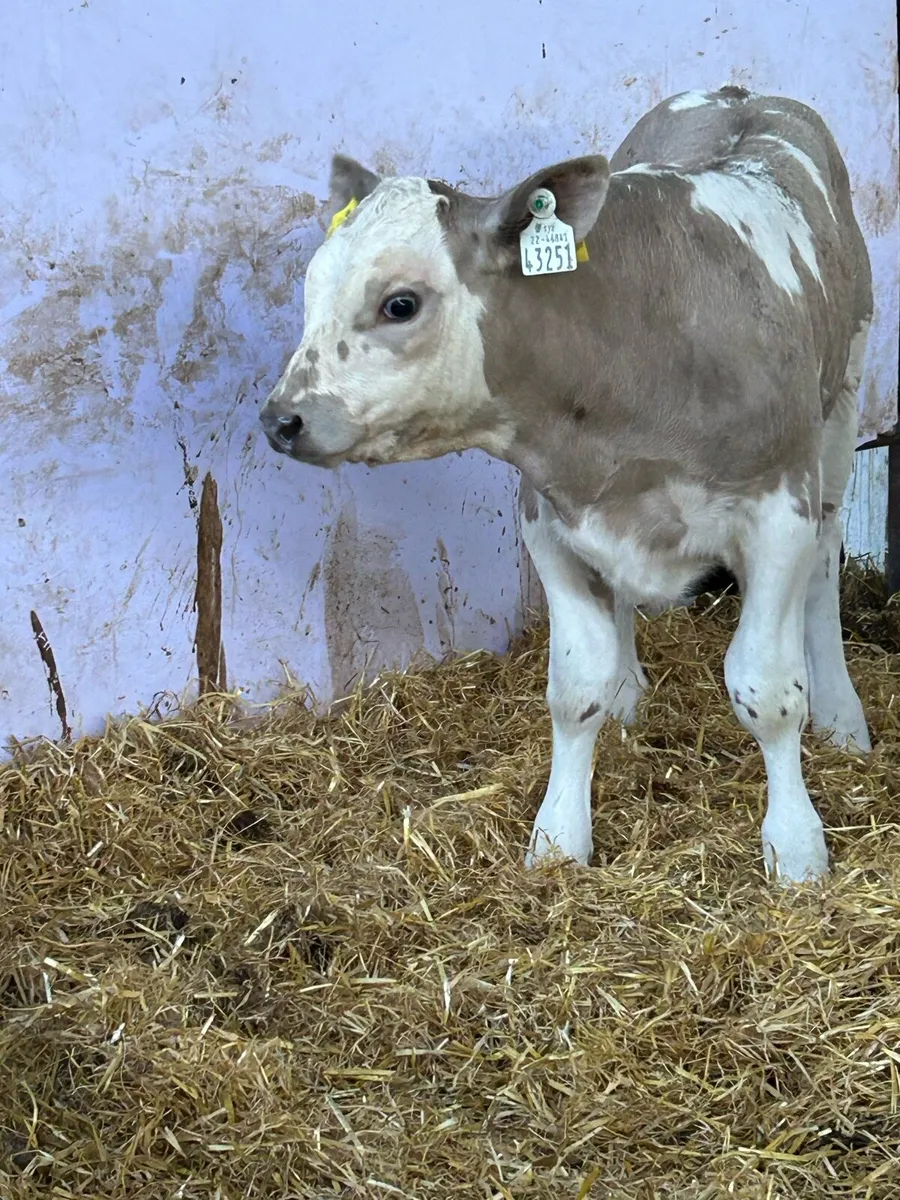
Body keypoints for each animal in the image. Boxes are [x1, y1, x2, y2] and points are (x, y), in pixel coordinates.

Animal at [259, 86, 873, 883]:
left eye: (400, 303)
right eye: (310, 291)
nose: (282, 419)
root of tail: (742, 94)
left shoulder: (779, 514)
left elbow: (766, 690)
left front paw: (796, 846)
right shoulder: (549, 516)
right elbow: (575, 686)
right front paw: (559, 837)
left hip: (841, 406)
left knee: (826, 562)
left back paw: (842, 713)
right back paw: (629, 693)